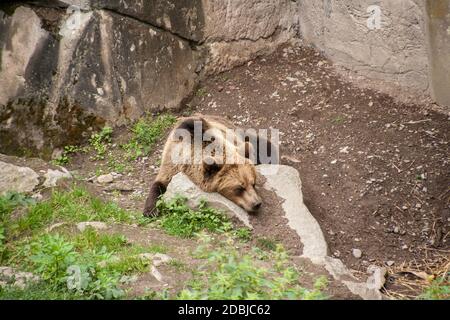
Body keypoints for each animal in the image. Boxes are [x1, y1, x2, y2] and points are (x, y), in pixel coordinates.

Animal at [144, 114, 278, 216]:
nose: (257, 203)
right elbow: (160, 182)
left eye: (253, 183)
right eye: (239, 188)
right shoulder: (173, 159)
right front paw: (151, 211)